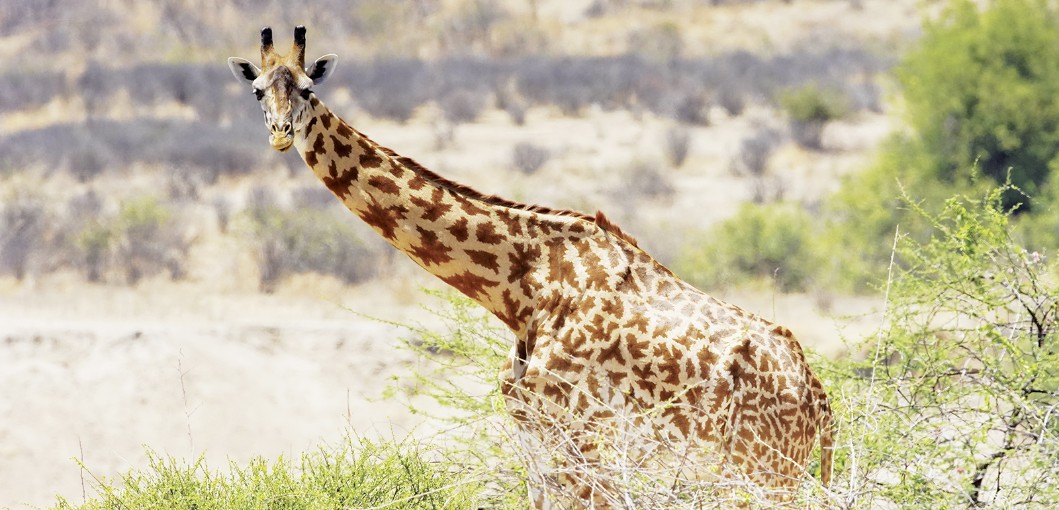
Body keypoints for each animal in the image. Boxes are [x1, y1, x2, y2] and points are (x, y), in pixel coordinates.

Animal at [231, 26, 834, 505]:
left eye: (307, 89)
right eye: (258, 90)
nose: (281, 134)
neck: (522, 288)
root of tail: (820, 403)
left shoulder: (580, 431)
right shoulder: (533, 431)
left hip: (761, 469)